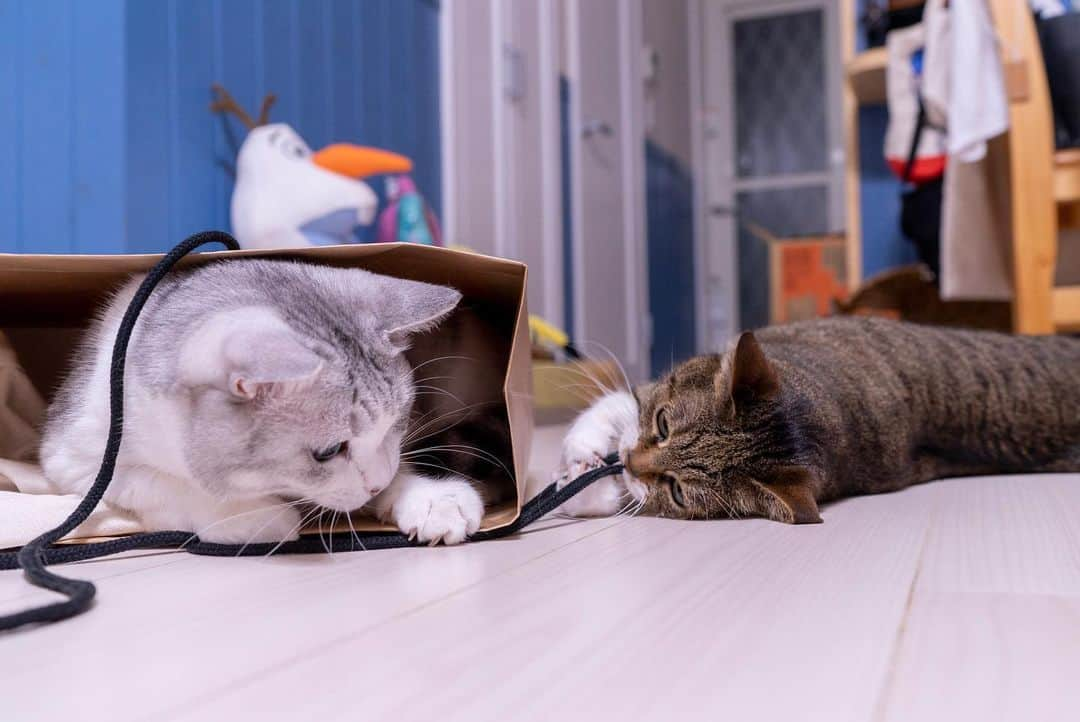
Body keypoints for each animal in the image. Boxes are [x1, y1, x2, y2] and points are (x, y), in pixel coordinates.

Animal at [39, 255, 483, 543]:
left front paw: (430, 496)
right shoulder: (79, 456)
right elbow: (160, 483)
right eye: (328, 451)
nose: (376, 486)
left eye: (398, 421)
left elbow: (397, 464)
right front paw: (252, 516)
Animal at [557, 317, 1080, 520]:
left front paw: (584, 485)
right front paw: (586, 458)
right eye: (664, 425)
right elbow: (619, 408)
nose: (630, 463)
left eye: (679, 491)